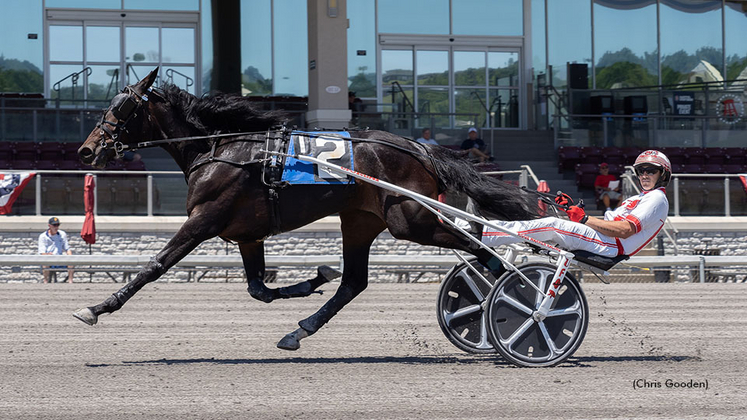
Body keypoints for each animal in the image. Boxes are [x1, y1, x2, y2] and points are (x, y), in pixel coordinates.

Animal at [73, 69, 544, 350]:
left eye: (120, 107)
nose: (86, 151)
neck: (220, 148)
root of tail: (420, 149)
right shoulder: (247, 234)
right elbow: (259, 288)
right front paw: (314, 277)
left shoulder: (203, 220)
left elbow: (156, 265)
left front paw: (97, 308)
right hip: (361, 221)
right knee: (354, 282)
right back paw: (299, 330)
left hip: (410, 220)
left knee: (482, 247)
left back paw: (525, 298)